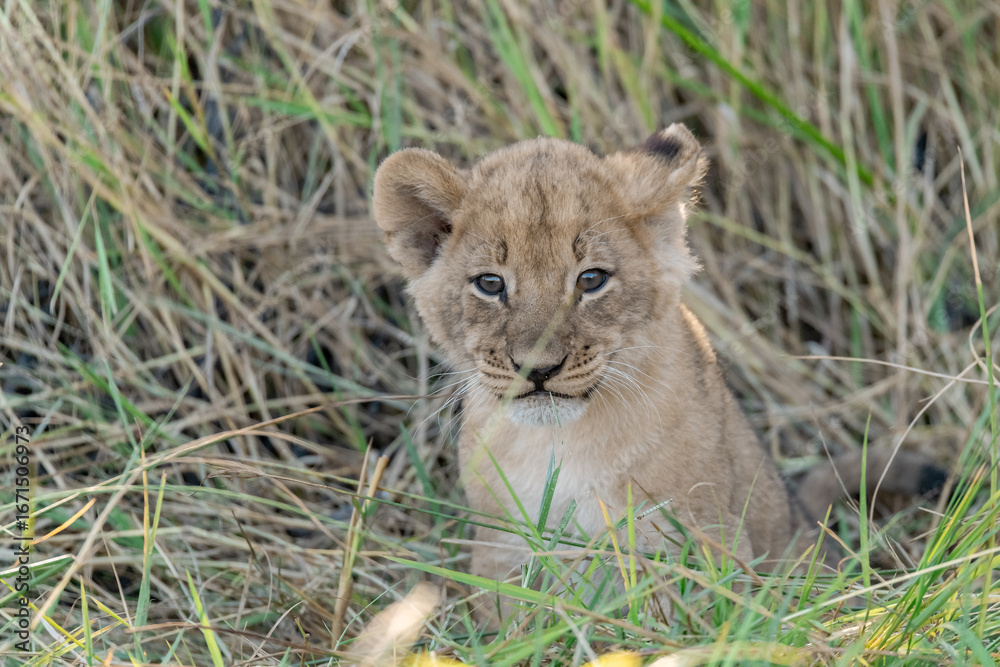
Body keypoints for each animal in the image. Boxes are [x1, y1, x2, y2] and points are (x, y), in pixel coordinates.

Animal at [371, 124, 944, 618]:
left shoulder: (697, 541)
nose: (538, 369)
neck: (558, 445)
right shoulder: (500, 549)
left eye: (592, 279)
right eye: (490, 284)